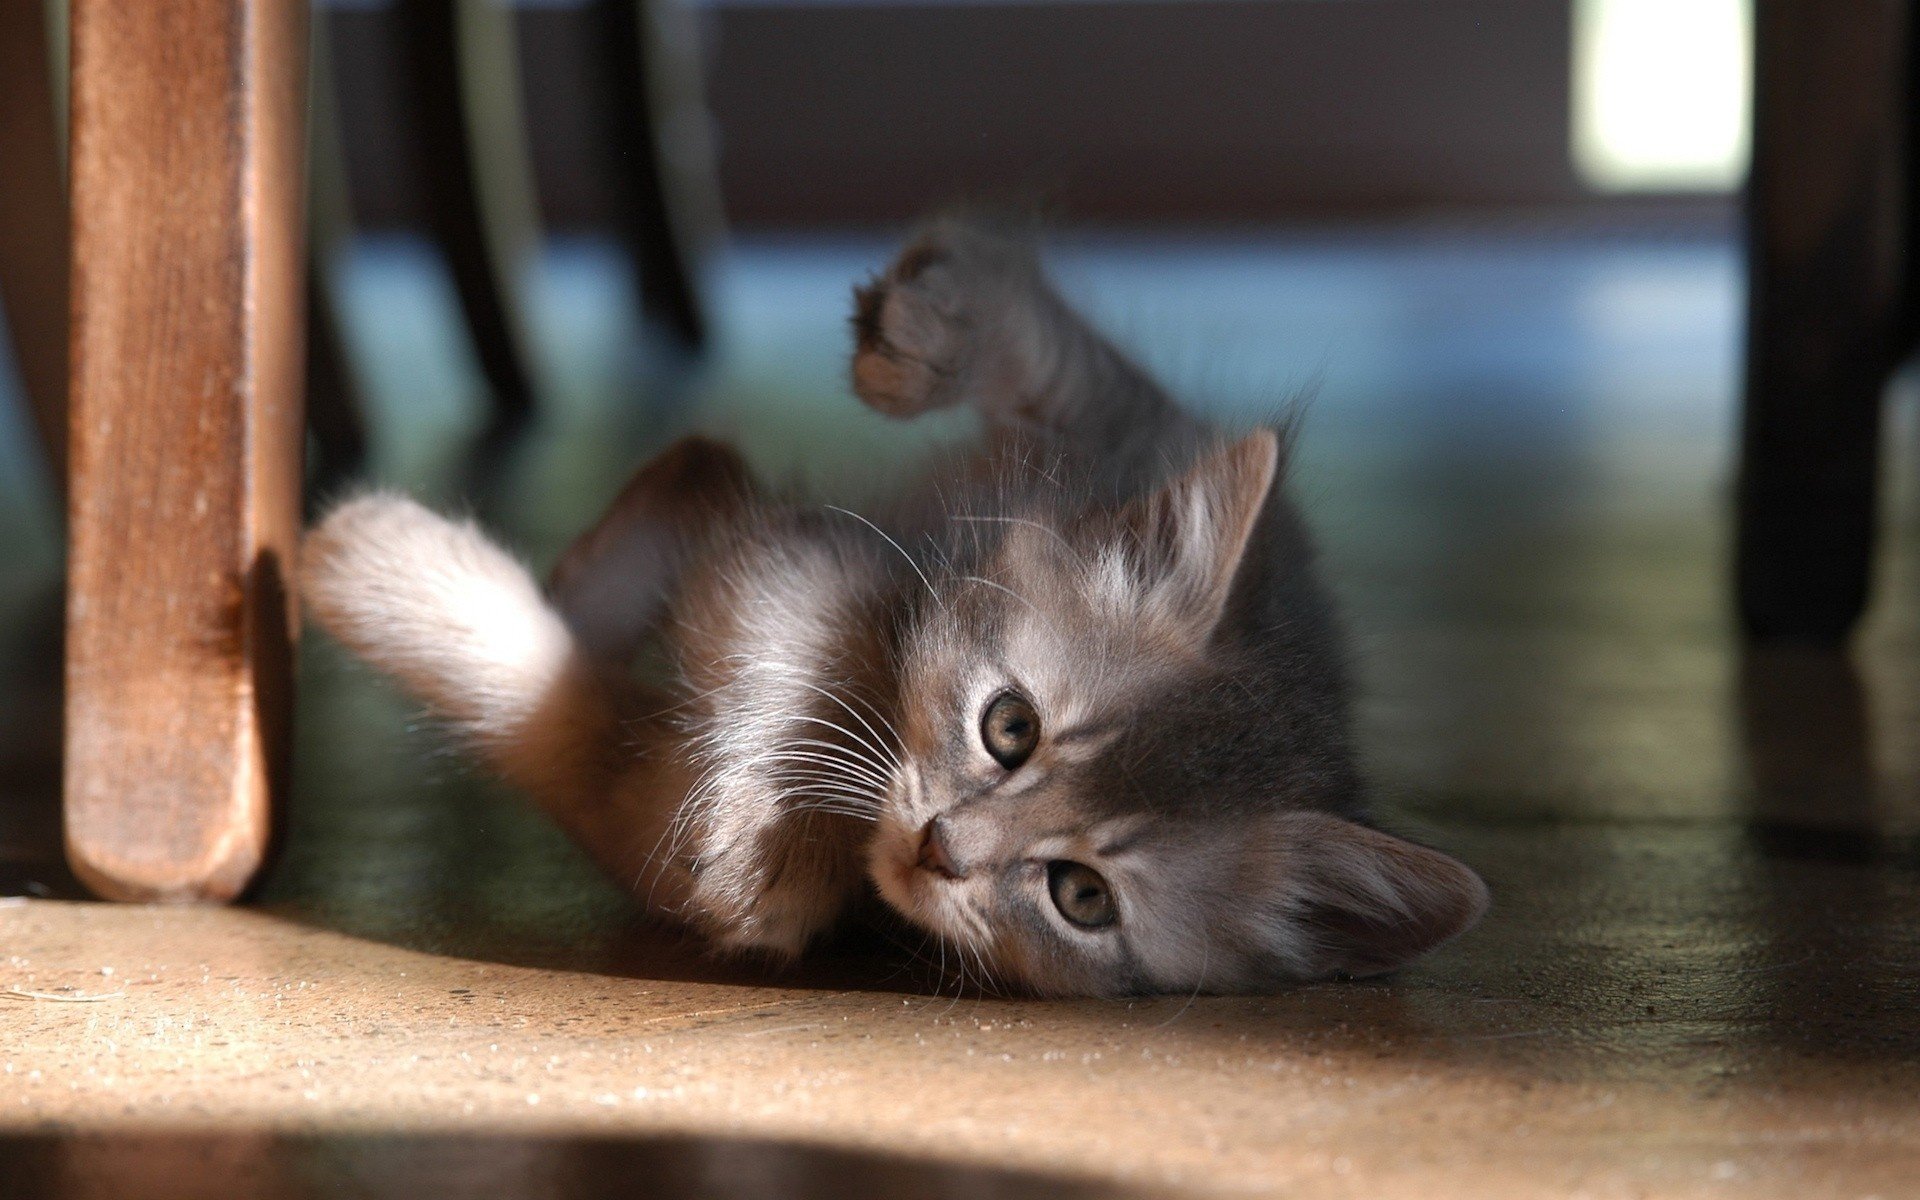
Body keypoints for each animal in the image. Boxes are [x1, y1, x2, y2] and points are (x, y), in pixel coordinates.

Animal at [307, 219, 1489, 998]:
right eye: (1010, 727)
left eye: (1083, 898)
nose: (941, 849)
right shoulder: (857, 544)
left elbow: (574, 730)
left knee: (703, 492)